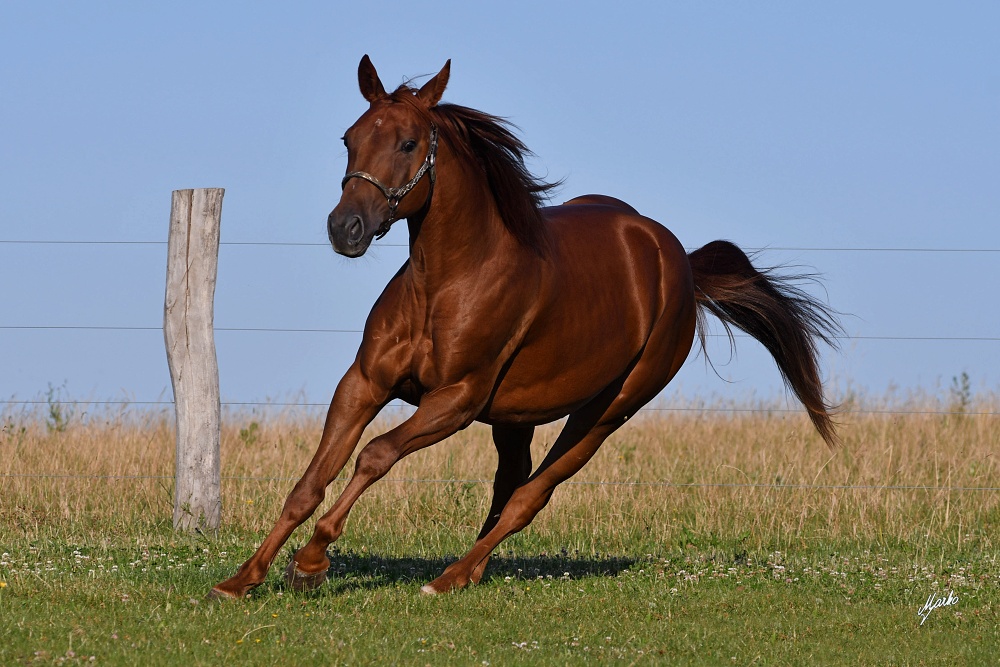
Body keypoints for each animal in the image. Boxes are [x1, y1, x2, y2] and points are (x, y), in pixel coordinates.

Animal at [209, 56, 836, 600]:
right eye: (349, 138)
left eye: (408, 143)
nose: (347, 229)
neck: (446, 283)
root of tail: (678, 261)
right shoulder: (363, 383)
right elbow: (309, 481)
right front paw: (243, 579)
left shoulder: (455, 400)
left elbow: (375, 456)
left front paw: (311, 563)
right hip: (516, 416)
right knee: (511, 482)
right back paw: (469, 570)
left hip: (605, 412)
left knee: (531, 495)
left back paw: (449, 577)